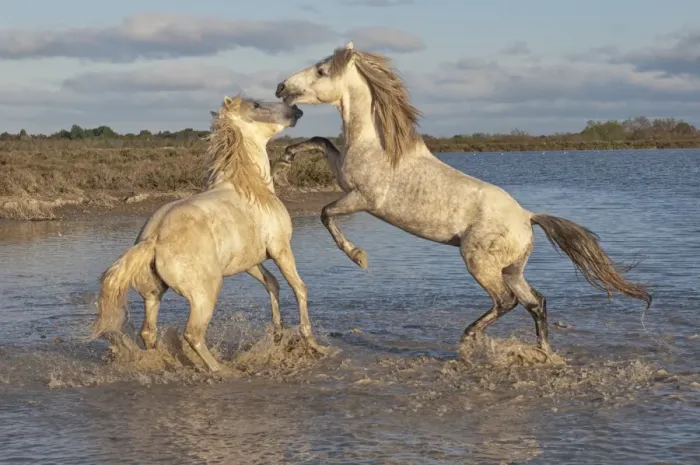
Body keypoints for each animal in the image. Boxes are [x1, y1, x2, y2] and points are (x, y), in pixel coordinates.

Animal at [89, 95, 329, 372]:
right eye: (256, 105)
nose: (295, 109)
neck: (252, 187)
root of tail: (154, 239)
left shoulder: (249, 261)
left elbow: (272, 284)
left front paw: (278, 335)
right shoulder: (281, 249)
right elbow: (299, 287)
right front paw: (314, 344)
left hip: (153, 293)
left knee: (148, 331)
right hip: (205, 294)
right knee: (193, 333)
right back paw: (221, 370)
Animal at [273, 41, 652, 356]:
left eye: (321, 71)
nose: (281, 88)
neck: (377, 145)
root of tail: (528, 217)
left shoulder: (362, 198)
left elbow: (325, 213)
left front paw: (358, 257)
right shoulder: (342, 176)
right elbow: (321, 142)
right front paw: (287, 158)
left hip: (478, 262)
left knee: (507, 301)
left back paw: (468, 338)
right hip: (511, 269)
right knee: (536, 303)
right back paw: (543, 353)